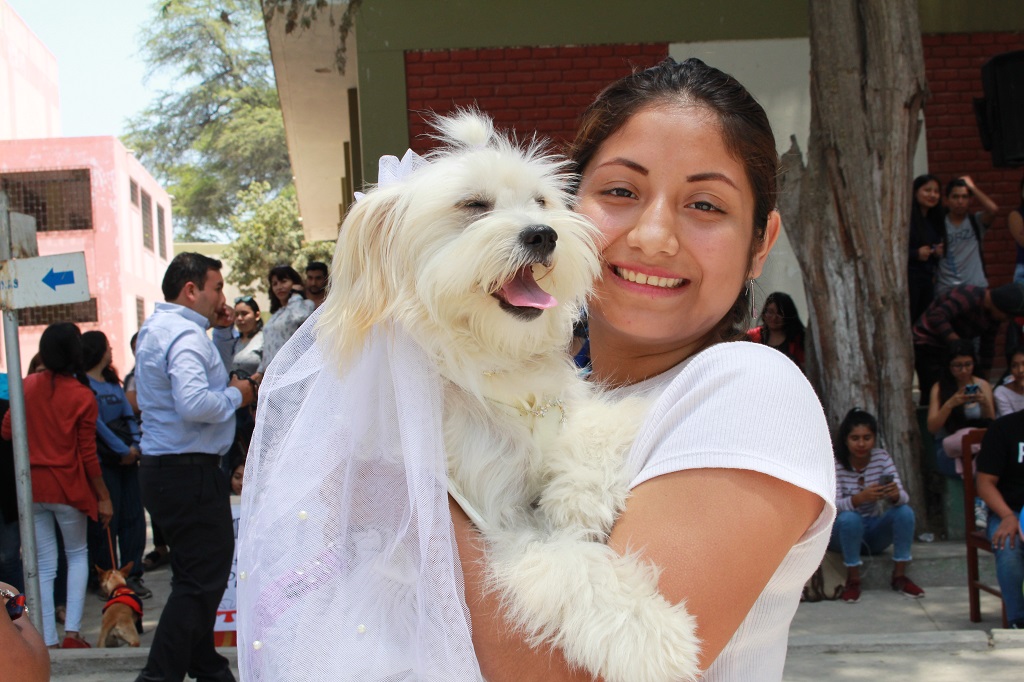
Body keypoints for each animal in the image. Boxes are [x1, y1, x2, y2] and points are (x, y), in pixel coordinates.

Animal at [319, 111, 700, 679]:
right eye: (474, 205)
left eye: (540, 202)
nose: (543, 234)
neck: (501, 373)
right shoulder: (495, 524)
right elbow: (569, 564)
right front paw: (647, 636)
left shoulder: (573, 403)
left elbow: (598, 426)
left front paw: (578, 499)